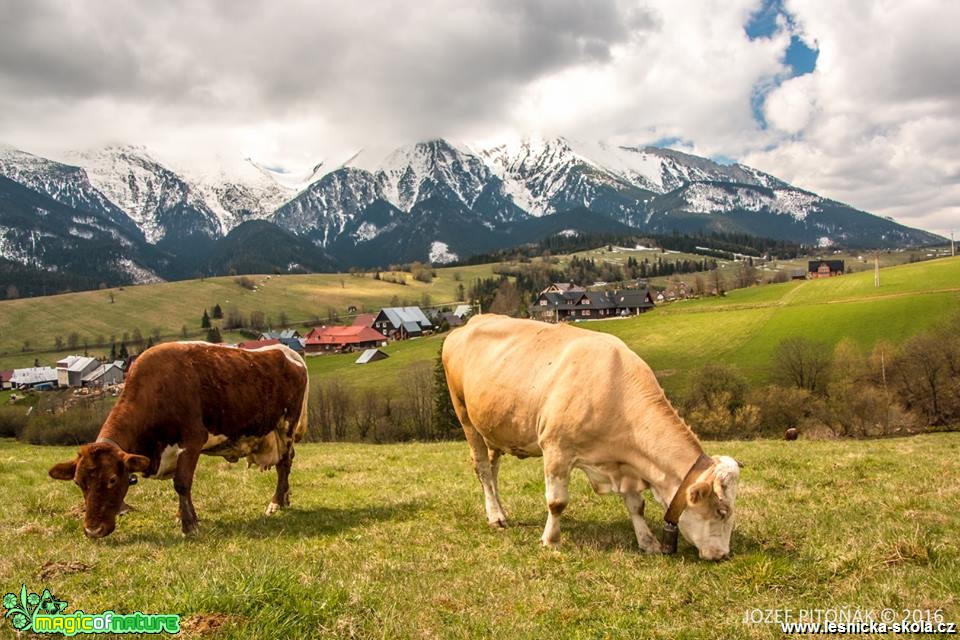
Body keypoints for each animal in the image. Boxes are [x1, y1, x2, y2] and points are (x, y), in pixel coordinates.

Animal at [48, 342, 308, 536]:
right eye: (78, 482)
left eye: (112, 480)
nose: (93, 530)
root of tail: (288, 351)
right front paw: (184, 516)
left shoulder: (192, 441)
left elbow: (182, 484)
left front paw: (189, 524)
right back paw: (284, 498)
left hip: (286, 426)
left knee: (284, 465)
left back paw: (276, 502)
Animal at [442, 316, 744, 560]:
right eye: (721, 512)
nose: (723, 555)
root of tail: (470, 323)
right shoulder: (556, 449)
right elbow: (557, 502)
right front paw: (551, 540)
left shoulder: (625, 461)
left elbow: (637, 505)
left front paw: (648, 542)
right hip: (465, 417)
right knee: (482, 468)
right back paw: (495, 516)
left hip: (493, 427)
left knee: (493, 469)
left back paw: (500, 512)